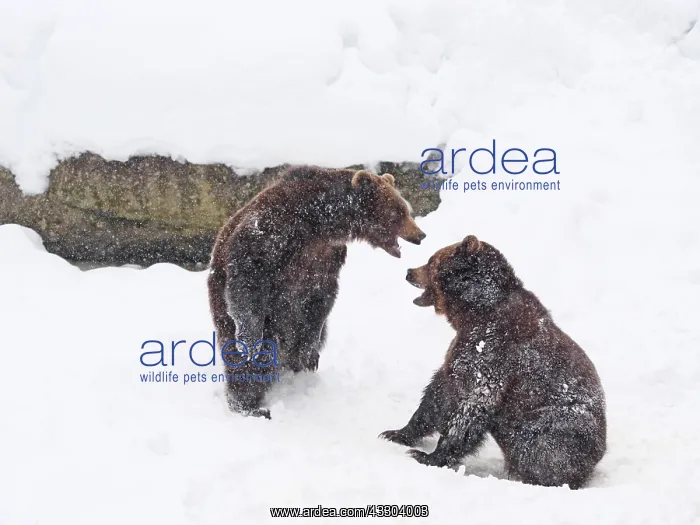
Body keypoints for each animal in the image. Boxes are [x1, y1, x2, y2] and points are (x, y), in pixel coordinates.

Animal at [208, 165, 426, 418]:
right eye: (399, 211)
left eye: (405, 209)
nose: (420, 235)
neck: (320, 220)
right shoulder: (273, 229)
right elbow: (249, 275)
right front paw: (250, 341)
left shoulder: (326, 255)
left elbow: (321, 297)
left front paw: (309, 353)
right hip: (234, 314)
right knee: (248, 361)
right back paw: (250, 406)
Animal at [380, 235, 606, 489]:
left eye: (431, 261)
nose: (409, 272)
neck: (472, 312)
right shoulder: (462, 349)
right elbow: (439, 394)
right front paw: (397, 433)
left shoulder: (493, 353)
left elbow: (473, 405)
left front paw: (429, 456)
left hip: (553, 424)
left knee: (536, 447)